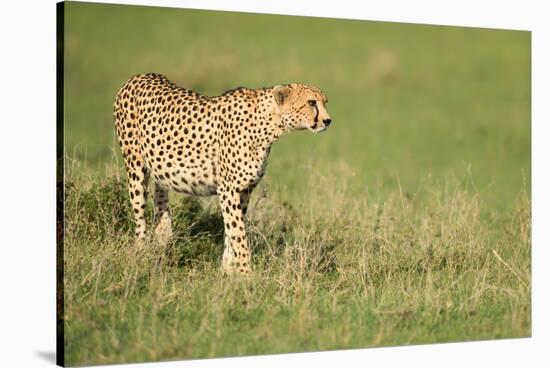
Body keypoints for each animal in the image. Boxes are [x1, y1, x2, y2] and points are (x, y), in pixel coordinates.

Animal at [113, 73, 332, 274]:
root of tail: (138, 76)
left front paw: (227, 271)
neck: (269, 124)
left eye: (324, 102)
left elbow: (231, 232)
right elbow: (238, 233)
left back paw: (163, 239)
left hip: (160, 170)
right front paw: (246, 274)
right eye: (311, 102)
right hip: (135, 170)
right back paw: (141, 255)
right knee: (139, 218)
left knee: (160, 202)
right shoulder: (228, 189)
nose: (328, 121)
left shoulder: (244, 190)